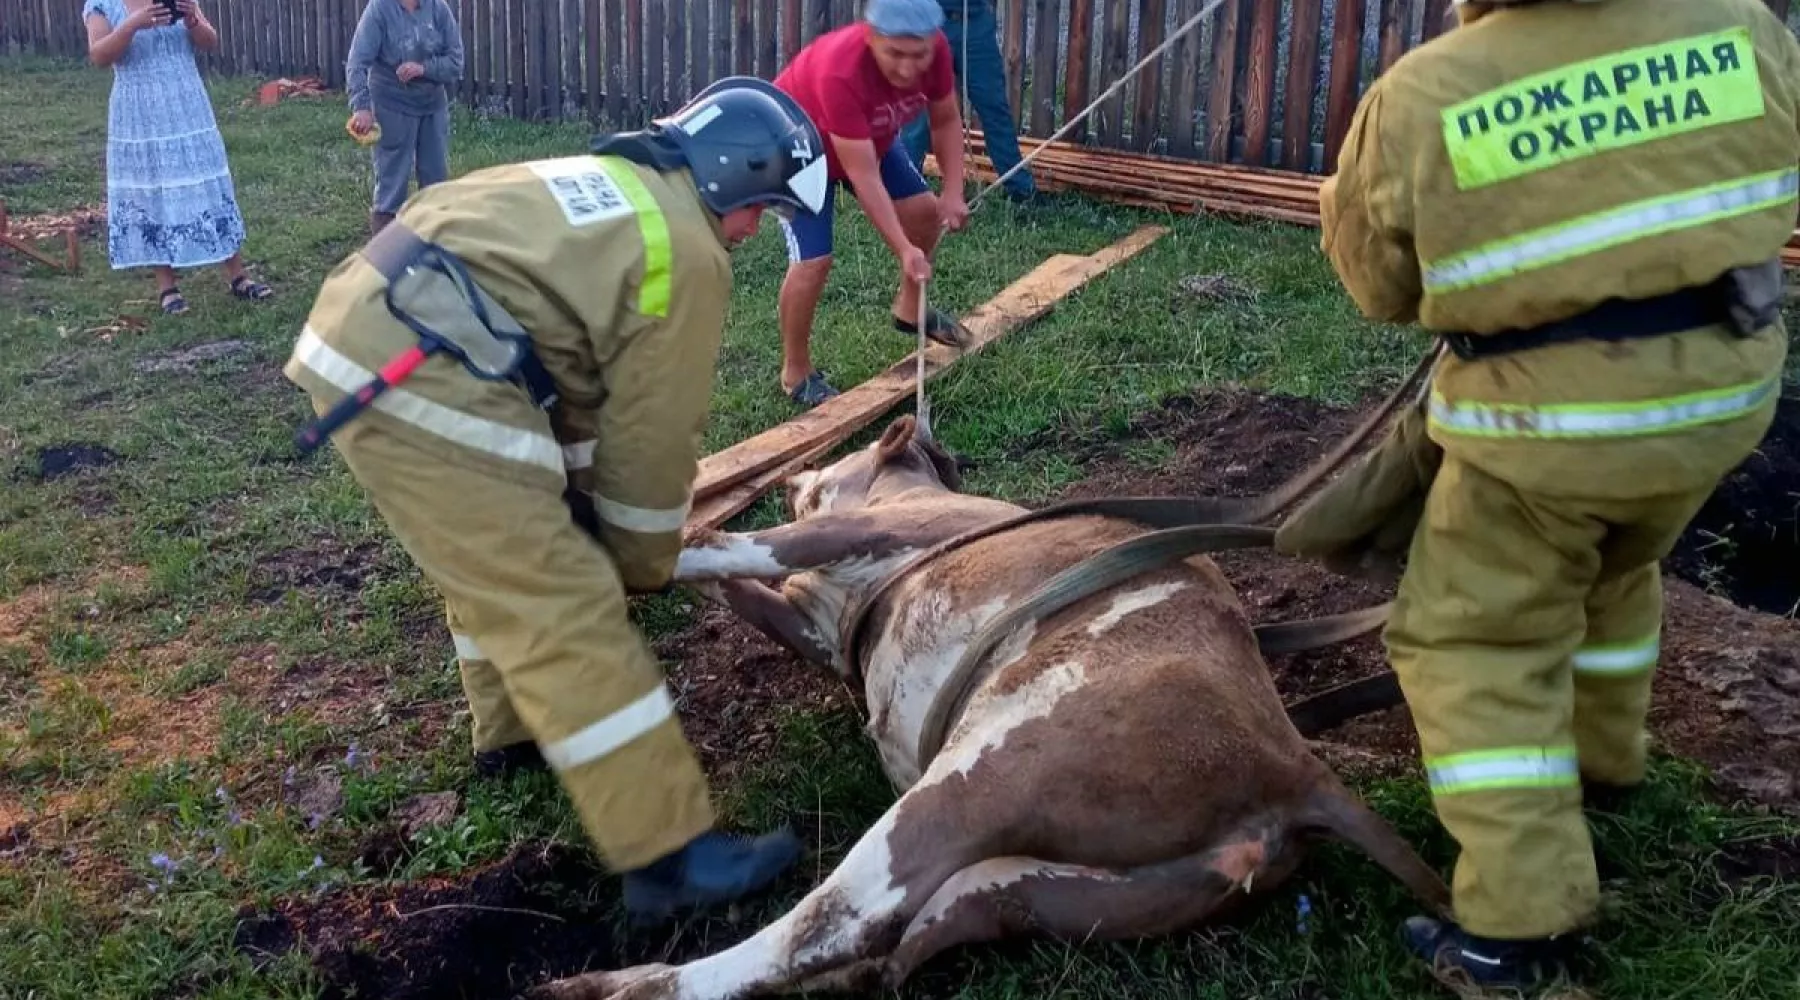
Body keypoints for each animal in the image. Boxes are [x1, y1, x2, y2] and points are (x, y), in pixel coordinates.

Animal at [529, 413, 1447, 1000]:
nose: (793, 472)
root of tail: (1292, 768)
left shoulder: (849, 537)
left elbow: (725, 547)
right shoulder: (813, 623)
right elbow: (740, 587)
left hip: (980, 778)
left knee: (830, 921)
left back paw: (609, 986)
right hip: (1048, 889)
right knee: (890, 946)